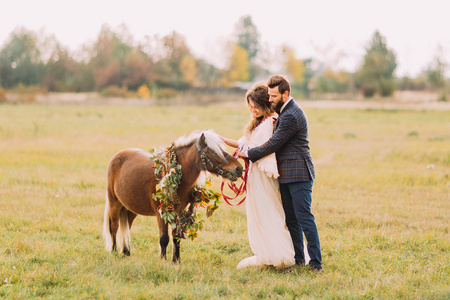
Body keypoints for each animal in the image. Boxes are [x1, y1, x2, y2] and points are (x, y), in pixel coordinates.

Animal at [103, 129, 243, 262]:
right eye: (213, 152)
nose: (239, 169)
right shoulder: (161, 213)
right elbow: (164, 238)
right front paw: (163, 260)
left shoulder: (179, 212)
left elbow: (176, 237)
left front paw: (176, 261)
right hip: (114, 202)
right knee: (114, 227)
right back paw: (114, 252)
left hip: (131, 209)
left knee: (126, 227)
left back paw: (126, 253)